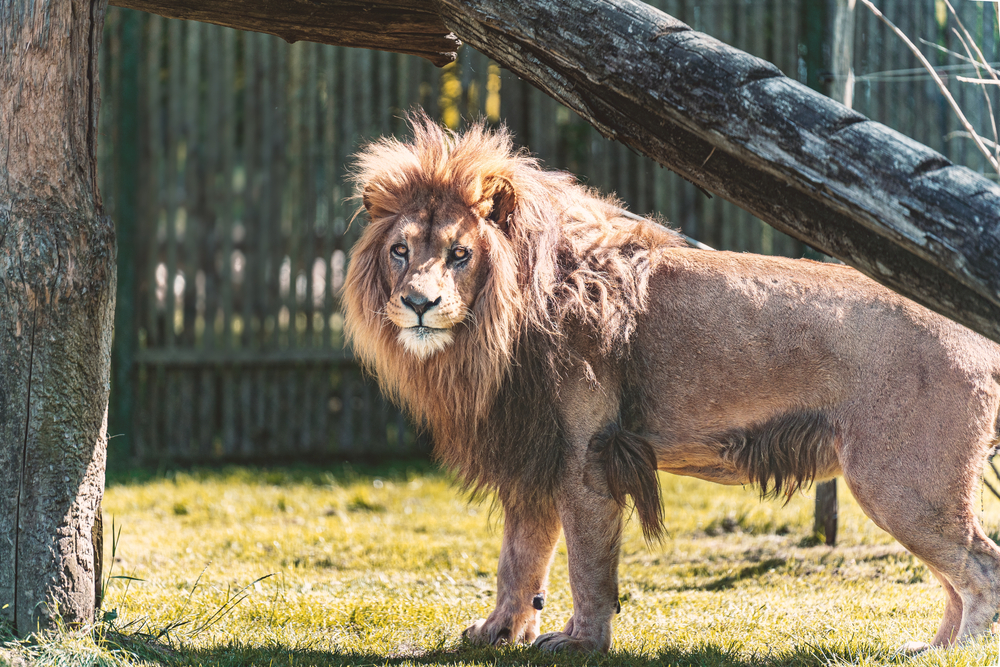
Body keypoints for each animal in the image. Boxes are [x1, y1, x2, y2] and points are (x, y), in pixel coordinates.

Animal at [342, 112, 1000, 654]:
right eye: (401, 250)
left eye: (459, 254)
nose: (419, 303)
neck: (493, 330)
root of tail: (976, 335)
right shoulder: (533, 452)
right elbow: (520, 557)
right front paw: (499, 632)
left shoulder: (588, 452)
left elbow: (587, 562)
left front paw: (580, 643)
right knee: (956, 577)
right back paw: (930, 648)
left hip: (902, 483)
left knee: (981, 567)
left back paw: (960, 651)